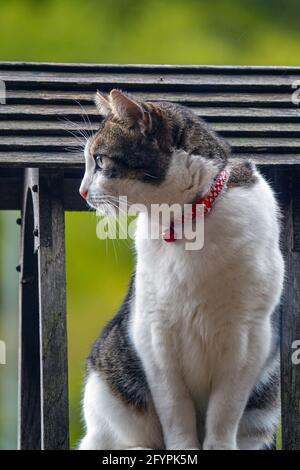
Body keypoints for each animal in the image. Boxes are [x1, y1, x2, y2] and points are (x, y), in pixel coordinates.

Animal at [77, 89, 284, 452]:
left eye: (99, 161)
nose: (82, 192)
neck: (186, 224)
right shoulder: (154, 335)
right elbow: (176, 410)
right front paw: (184, 448)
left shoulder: (250, 336)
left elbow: (225, 410)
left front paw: (218, 446)